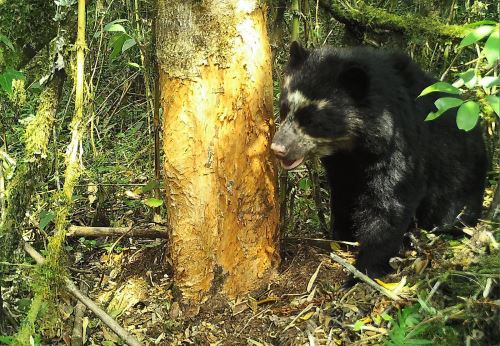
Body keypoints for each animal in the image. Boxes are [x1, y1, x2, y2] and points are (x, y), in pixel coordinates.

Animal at [272, 42, 486, 282]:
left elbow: (391, 200)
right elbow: (343, 192)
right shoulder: (341, 161)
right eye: (283, 109)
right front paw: (342, 237)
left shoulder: (400, 141)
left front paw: (364, 269)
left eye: (311, 120)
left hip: (460, 178)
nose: (277, 149)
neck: (356, 144)